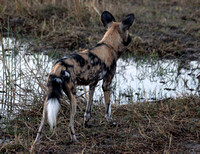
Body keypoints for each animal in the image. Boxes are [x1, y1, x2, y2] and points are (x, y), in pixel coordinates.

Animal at [32, 10, 134, 144]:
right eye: (128, 31)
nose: (131, 38)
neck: (109, 45)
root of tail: (58, 66)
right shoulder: (106, 84)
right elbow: (108, 109)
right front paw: (111, 123)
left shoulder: (92, 84)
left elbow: (88, 109)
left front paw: (86, 123)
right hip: (73, 97)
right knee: (70, 123)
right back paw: (75, 139)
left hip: (49, 97)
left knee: (42, 122)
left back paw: (36, 142)